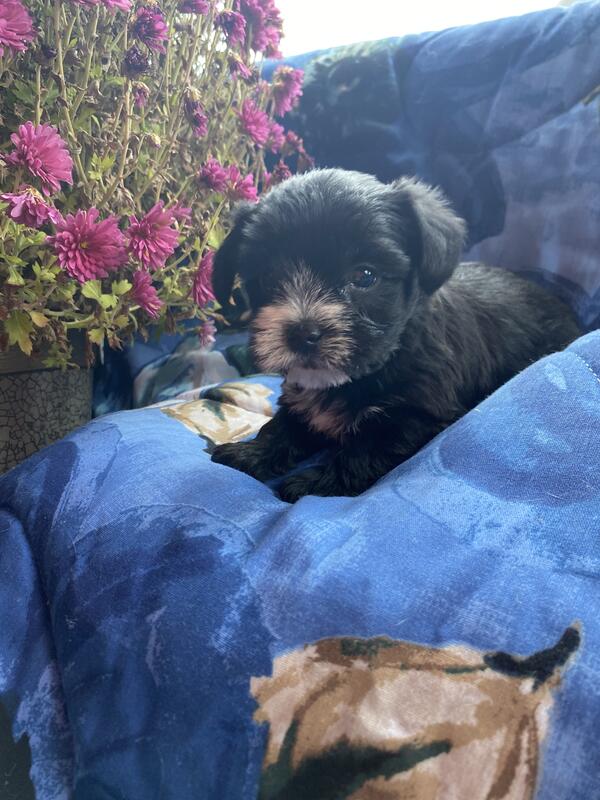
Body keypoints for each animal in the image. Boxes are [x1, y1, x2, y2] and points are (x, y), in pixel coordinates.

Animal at [211, 169, 580, 501]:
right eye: (267, 278)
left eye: (365, 276)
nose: (303, 332)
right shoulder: (300, 397)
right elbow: (284, 424)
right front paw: (252, 453)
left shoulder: (418, 416)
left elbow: (366, 450)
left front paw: (314, 481)